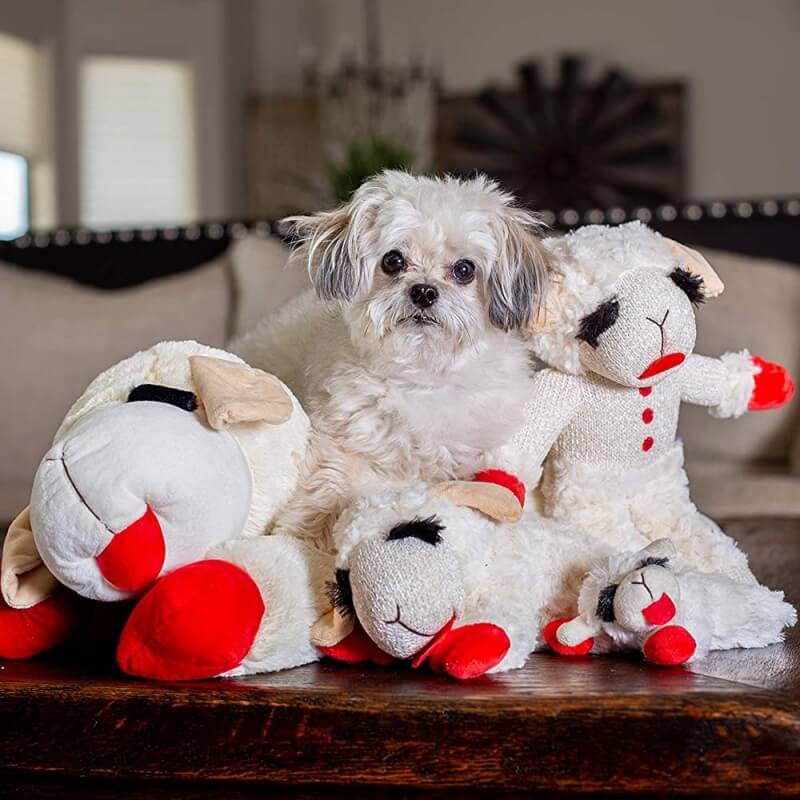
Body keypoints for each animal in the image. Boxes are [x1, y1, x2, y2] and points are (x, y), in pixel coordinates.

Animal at [234, 171, 552, 548]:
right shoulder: (341, 442)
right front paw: (301, 536)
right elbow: (327, 486)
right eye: (393, 261)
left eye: (464, 269)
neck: (423, 374)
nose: (424, 291)